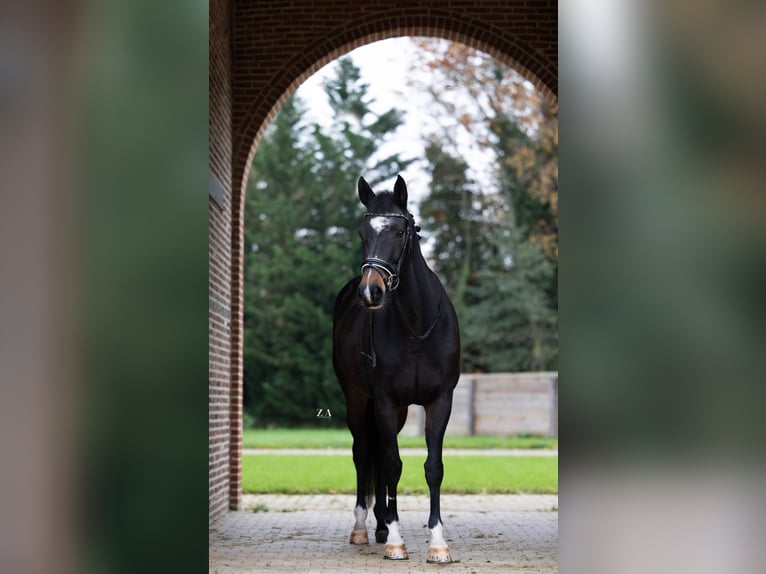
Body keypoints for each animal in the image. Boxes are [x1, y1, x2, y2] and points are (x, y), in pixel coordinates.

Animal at [332, 174, 462, 564]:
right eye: (362, 232)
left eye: (401, 231)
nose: (370, 292)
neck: (416, 325)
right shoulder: (385, 401)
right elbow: (391, 465)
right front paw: (395, 540)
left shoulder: (439, 401)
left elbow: (433, 468)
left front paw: (438, 543)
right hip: (358, 401)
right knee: (364, 454)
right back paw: (364, 528)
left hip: (399, 410)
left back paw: (379, 524)